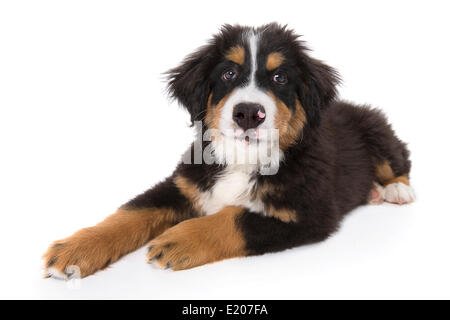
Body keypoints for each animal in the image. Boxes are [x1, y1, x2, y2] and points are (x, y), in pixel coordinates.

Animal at [43, 23, 414, 278]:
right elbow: (131, 212)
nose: (248, 113)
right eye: (229, 73)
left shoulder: (307, 212)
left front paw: (178, 240)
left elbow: (234, 218)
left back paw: (394, 191)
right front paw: (75, 249)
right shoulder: (182, 183)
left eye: (280, 78)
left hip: (376, 130)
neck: (242, 158)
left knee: (400, 159)